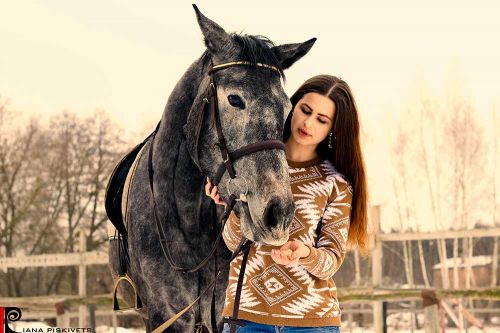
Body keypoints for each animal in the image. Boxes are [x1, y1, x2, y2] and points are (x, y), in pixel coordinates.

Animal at [108, 5, 316, 332]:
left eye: (287, 108)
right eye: (234, 99)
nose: (278, 214)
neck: (188, 218)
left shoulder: (221, 310)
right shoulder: (167, 314)